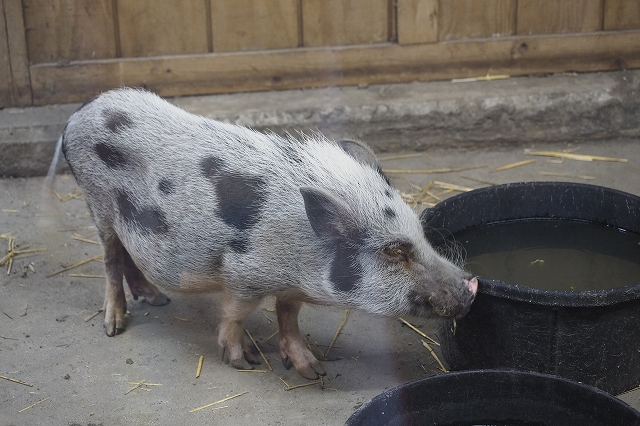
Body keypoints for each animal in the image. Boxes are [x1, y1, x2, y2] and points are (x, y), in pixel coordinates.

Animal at [48, 87, 477, 379]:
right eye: (394, 251)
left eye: (420, 235)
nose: (471, 285)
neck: (299, 253)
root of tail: (79, 113)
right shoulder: (242, 273)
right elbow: (237, 314)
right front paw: (243, 362)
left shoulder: (291, 285)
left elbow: (289, 316)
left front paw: (313, 370)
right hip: (97, 202)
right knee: (110, 257)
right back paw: (114, 327)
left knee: (126, 254)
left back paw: (157, 300)